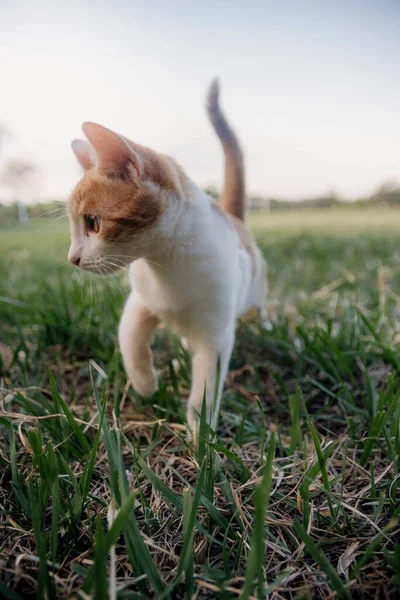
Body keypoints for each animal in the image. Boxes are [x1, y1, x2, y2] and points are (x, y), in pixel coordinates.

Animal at [67, 78, 268, 436]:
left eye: (93, 223)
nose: (72, 258)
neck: (167, 265)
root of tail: (236, 220)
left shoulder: (216, 334)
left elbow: (205, 389)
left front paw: (201, 437)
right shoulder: (141, 301)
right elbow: (129, 339)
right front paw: (146, 384)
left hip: (256, 290)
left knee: (261, 305)